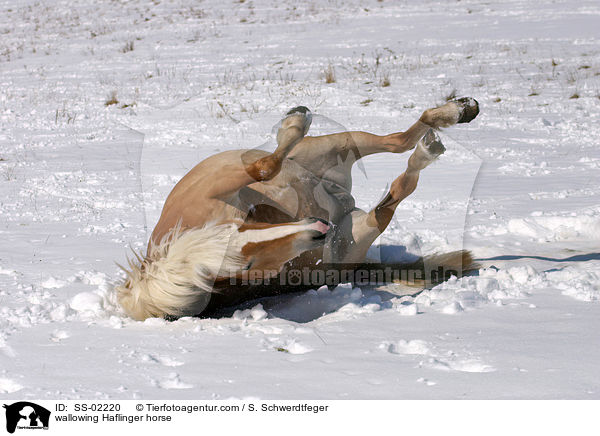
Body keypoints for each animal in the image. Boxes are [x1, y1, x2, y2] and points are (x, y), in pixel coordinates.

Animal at [117, 97, 480, 320]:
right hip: (354, 225)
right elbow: (266, 166)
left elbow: (264, 167)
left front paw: (293, 121)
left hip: (333, 145)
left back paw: (459, 111)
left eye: (244, 230)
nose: (319, 229)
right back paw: (429, 149)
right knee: (398, 182)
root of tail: (341, 200)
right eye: (246, 267)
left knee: (396, 141)